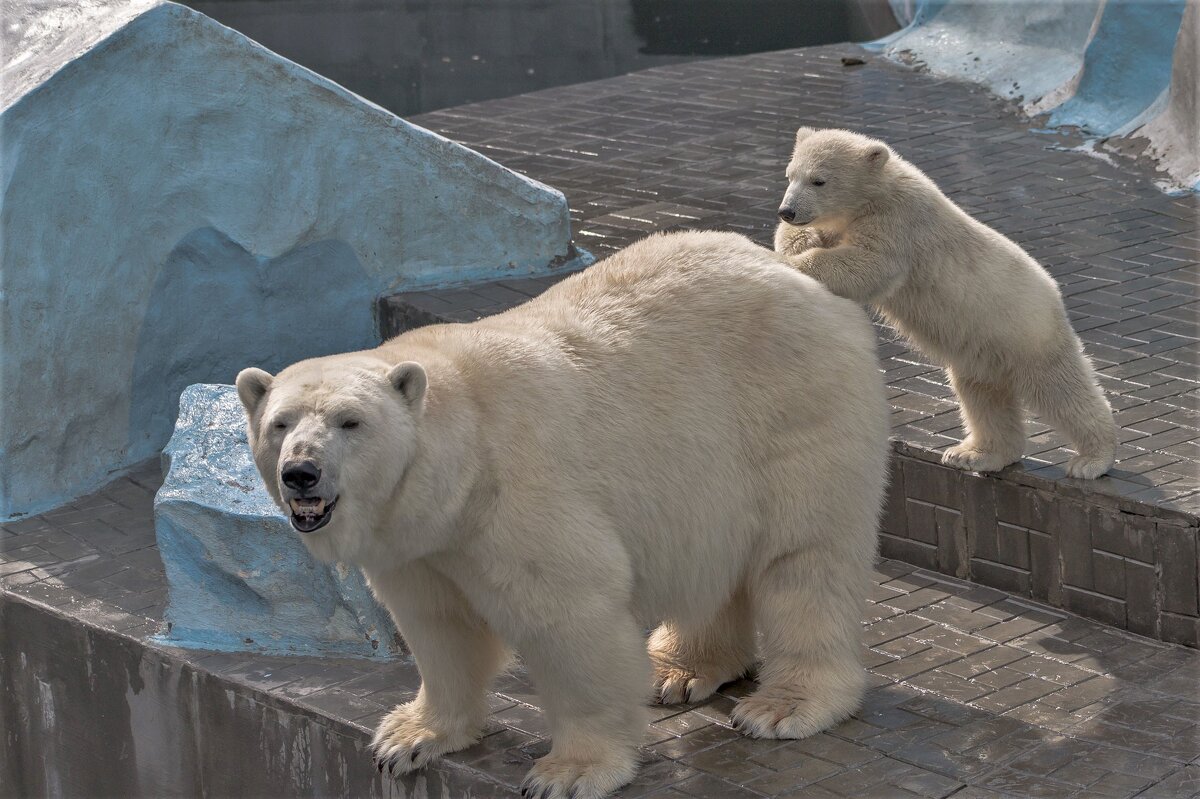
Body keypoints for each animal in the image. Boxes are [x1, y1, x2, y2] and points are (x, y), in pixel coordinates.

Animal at [236, 226, 892, 791]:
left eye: (351, 422)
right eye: (281, 424)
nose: (301, 473)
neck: (461, 463)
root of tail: (799, 274)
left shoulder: (515, 499)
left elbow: (568, 615)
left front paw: (570, 772)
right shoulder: (417, 547)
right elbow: (438, 627)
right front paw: (406, 737)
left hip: (794, 406)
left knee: (805, 558)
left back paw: (785, 704)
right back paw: (678, 669)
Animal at [777, 126, 1113, 479]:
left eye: (819, 180)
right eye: (790, 175)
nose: (788, 210)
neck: (879, 190)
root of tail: (1053, 292)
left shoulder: (898, 220)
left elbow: (871, 263)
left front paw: (791, 263)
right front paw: (797, 241)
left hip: (1026, 329)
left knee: (1059, 388)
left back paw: (1092, 459)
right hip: (981, 349)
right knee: (981, 395)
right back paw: (975, 454)